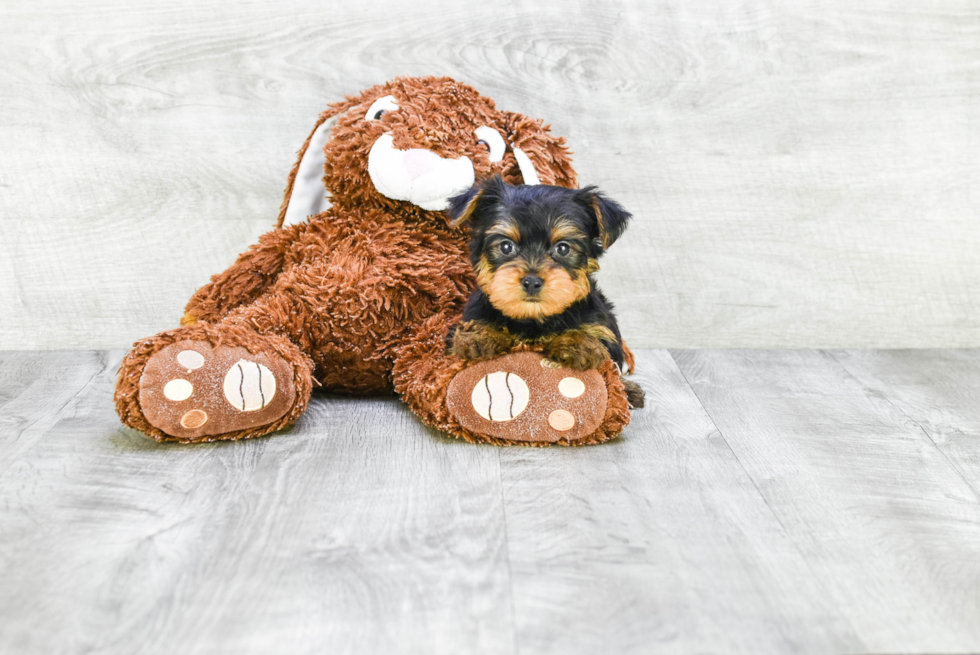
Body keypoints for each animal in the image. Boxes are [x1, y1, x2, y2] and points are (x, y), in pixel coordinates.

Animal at [448, 177, 648, 408]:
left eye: (563, 248)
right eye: (506, 247)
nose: (532, 282)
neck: (534, 319)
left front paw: (576, 342)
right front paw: (480, 334)